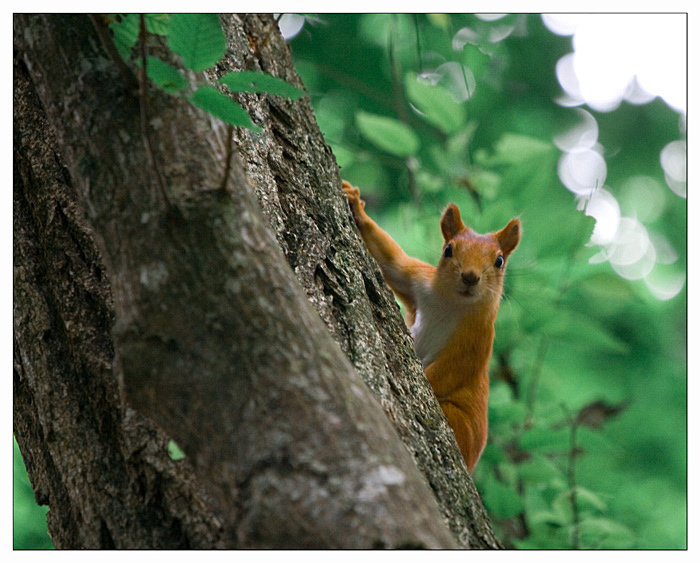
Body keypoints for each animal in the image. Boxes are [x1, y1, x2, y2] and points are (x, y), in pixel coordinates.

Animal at [342, 181, 521, 472]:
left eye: (499, 261)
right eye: (448, 249)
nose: (470, 277)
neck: (452, 304)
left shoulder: (479, 338)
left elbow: (449, 371)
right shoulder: (418, 279)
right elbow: (393, 262)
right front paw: (356, 204)